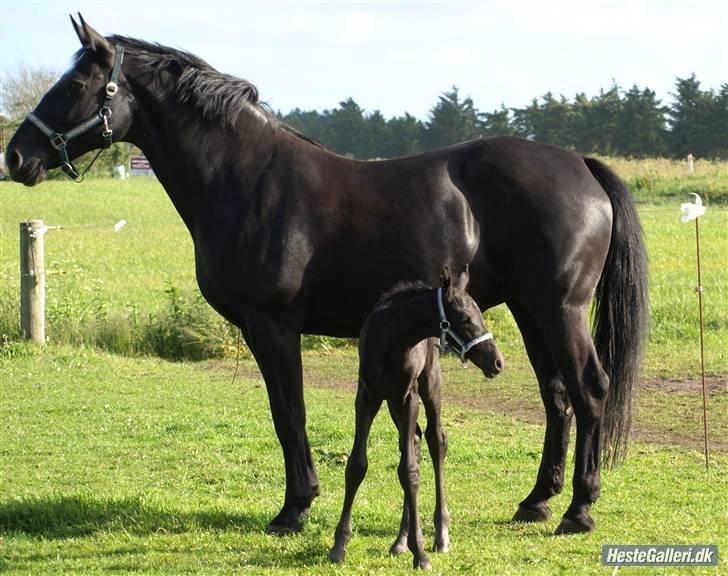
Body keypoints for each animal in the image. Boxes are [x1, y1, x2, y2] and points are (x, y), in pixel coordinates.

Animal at [332, 270, 506, 568]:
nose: (497, 362)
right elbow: (357, 465)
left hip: (429, 383)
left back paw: (440, 534)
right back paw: (401, 541)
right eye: (465, 319)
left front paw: (421, 552)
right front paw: (339, 545)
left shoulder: (408, 397)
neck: (391, 338)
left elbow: (410, 471)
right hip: (392, 403)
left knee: (436, 439)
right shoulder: (367, 396)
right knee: (413, 440)